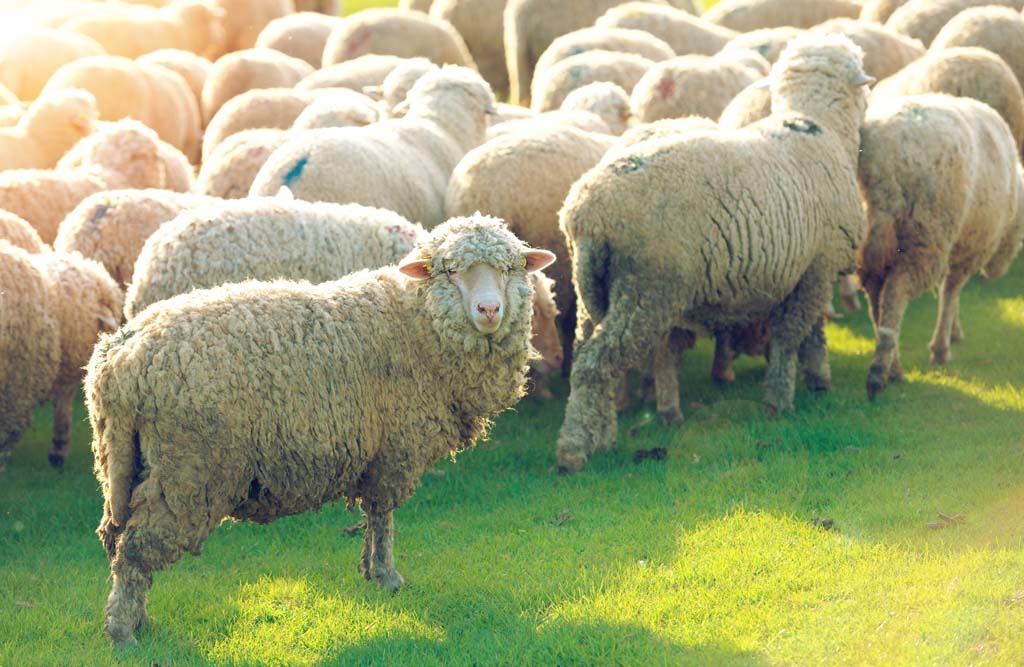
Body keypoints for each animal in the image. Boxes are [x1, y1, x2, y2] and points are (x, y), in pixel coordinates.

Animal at [87, 214, 554, 645]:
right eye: (451, 270)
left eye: (511, 267)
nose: (489, 310)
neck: (415, 322)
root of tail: (120, 358)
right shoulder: (395, 448)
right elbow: (383, 516)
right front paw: (388, 576)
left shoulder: (377, 452)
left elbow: (373, 515)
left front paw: (370, 570)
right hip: (185, 470)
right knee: (134, 552)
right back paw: (123, 634)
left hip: (124, 464)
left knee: (116, 541)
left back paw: (137, 621)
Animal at [858, 94, 1024, 400]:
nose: (998, 272)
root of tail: (880, 159)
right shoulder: (971, 248)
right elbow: (951, 290)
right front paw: (941, 347)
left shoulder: (959, 241)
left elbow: (950, 292)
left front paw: (953, 332)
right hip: (924, 235)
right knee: (895, 294)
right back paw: (882, 373)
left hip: (874, 241)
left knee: (876, 300)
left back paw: (890, 363)